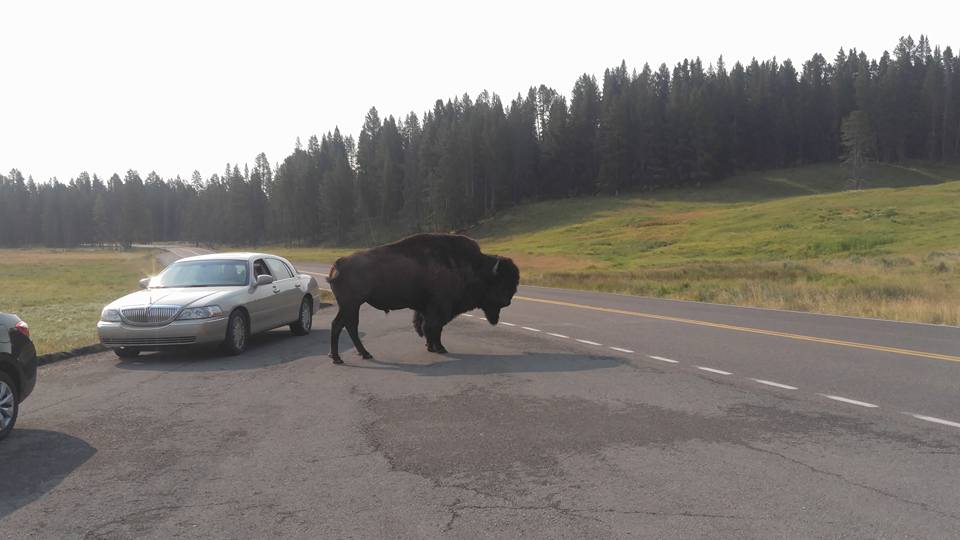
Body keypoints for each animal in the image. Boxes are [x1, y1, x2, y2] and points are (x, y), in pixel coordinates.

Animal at [326, 234, 520, 364]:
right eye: (501, 282)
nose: (507, 301)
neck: (475, 267)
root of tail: (338, 264)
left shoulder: (427, 308)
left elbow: (427, 327)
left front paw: (430, 346)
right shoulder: (440, 307)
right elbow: (435, 328)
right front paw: (440, 348)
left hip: (350, 306)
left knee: (345, 326)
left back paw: (355, 355)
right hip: (351, 305)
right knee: (343, 326)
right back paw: (344, 357)